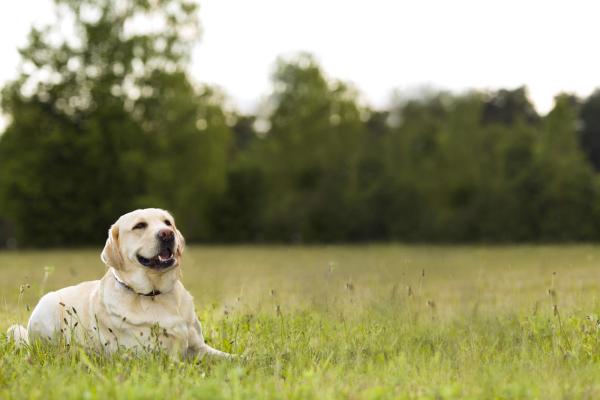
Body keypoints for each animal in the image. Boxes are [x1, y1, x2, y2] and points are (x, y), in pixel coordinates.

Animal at [7, 209, 232, 360]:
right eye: (139, 226)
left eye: (168, 222)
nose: (167, 233)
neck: (155, 294)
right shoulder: (151, 356)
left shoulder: (200, 348)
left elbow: (229, 358)